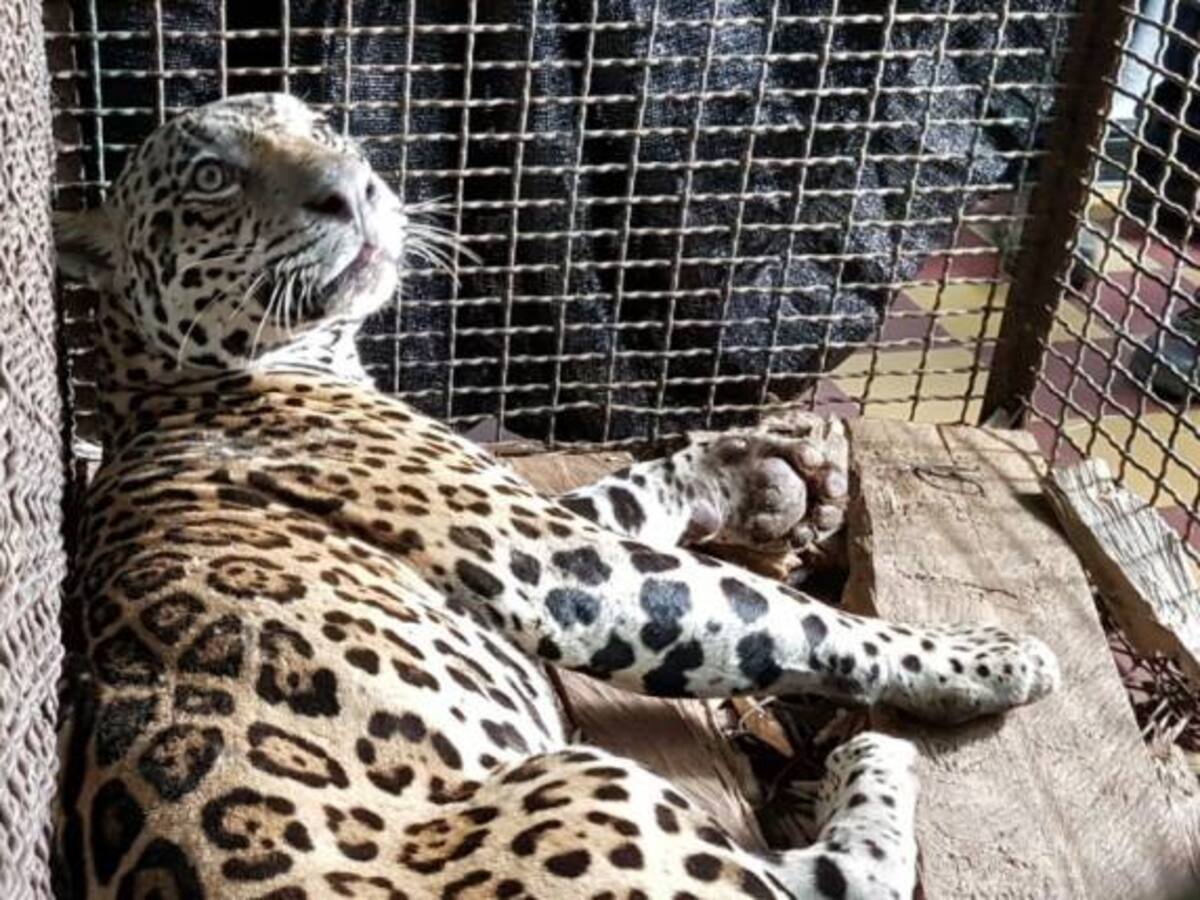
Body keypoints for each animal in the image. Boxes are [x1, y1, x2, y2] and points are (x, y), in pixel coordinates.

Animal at [51, 93, 1060, 900]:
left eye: (324, 126)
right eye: (213, 178)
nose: (354, 187)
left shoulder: (530, 511)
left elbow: (630, 489)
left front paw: (739, 470)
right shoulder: (547, 558)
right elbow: (790, 618)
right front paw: (981, 658)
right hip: (584, 782)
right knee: (828, 884)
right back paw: (873, 763)